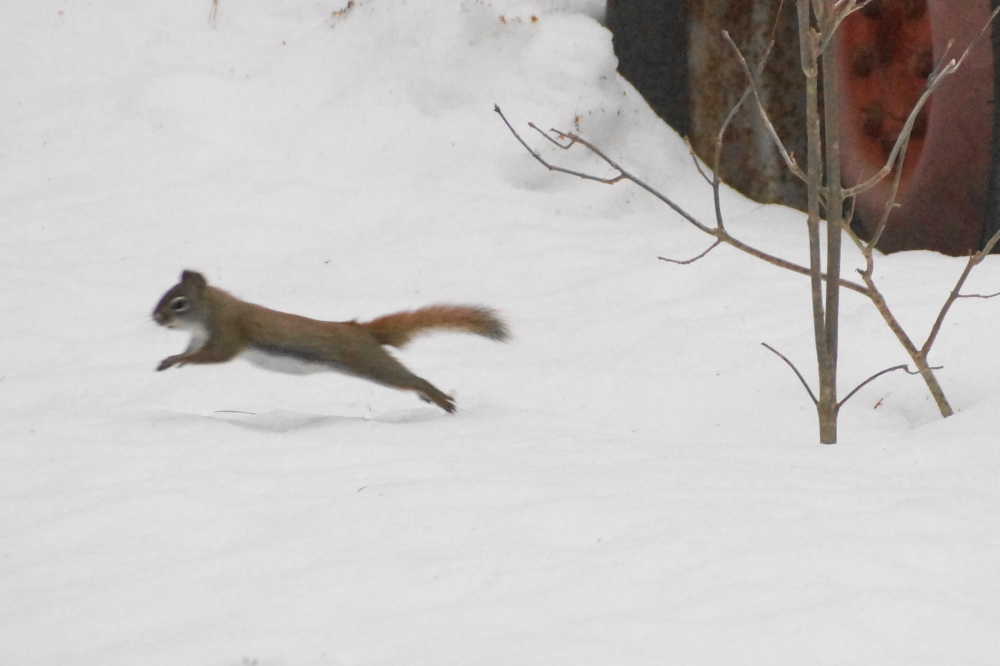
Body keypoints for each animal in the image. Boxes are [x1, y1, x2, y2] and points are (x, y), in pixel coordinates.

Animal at [152, 270, 508, 413]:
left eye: (179, 303)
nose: (155, 318)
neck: (211, 311)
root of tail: (361, 330)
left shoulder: (229, 333)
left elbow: (212, 356)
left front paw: (181, 361)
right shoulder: (198, 338)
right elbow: (190, 351)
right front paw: (170, 361)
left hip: (369, 363)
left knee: (413, 379)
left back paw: (441, 399)